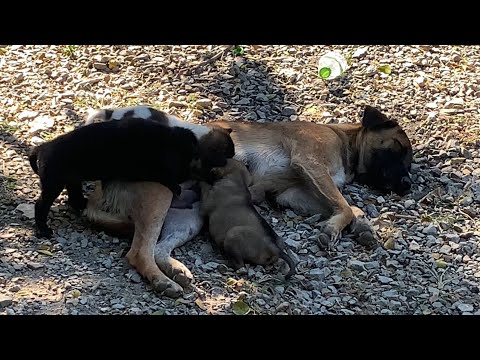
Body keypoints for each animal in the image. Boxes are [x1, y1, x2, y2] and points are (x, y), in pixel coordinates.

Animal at [28, 116, 201, 239]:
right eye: (184, 162)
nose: (185, 176)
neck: (162, 141)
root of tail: (42, 148)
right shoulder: (141, 170)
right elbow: (162, 175)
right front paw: (175, 186)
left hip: (72, 180)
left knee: (73, 197)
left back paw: (83, 204)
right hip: (53, 185)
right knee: (41, 205)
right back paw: (43, 229)